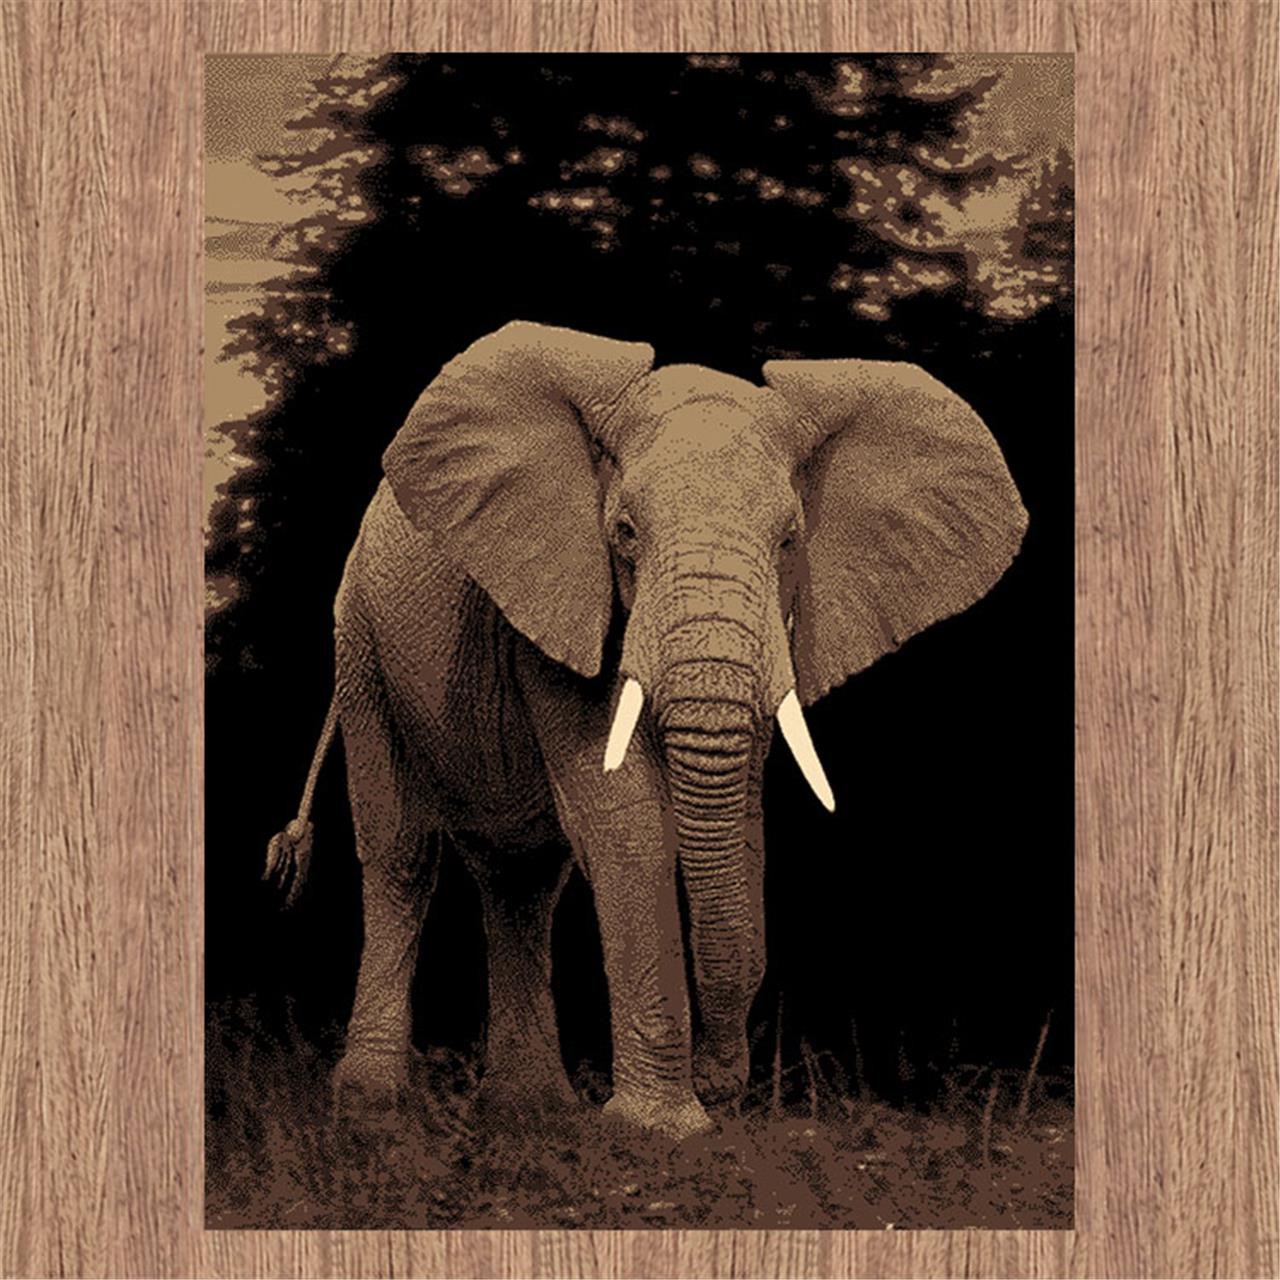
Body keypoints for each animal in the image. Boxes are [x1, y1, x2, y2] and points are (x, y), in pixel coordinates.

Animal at [265, 320, 1027, 1140]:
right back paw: (372, 1111)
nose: (728, 1085)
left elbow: (742, 827)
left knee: (521, 880)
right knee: (401, 851)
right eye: (625, 534)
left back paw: (531, 1112)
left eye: (790, 541)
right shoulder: (562, 597)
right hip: (361, 641)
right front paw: (662, 1133)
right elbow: (628, 824)